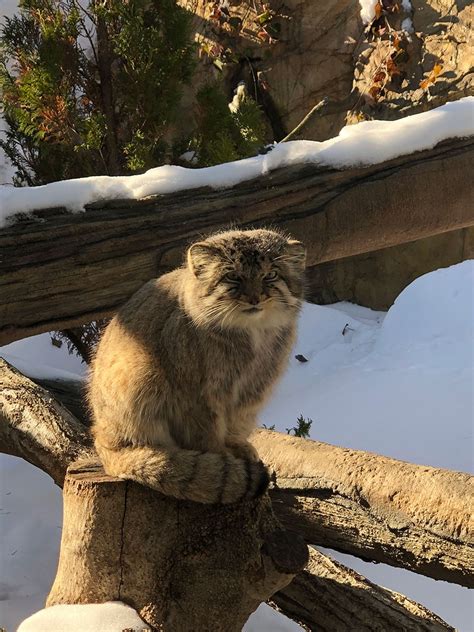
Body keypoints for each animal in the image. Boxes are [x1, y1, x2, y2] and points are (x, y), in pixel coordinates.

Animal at [87, 228, 306, 504]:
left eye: (271, 275)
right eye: (233, 276)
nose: (255, 298)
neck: (252, 335)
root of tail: (100, 440)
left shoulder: (252, 391)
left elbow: (235, 425)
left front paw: (237, 447)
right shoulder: (197, 396)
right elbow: (206, 434)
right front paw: (219, 459)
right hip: (140, 376)